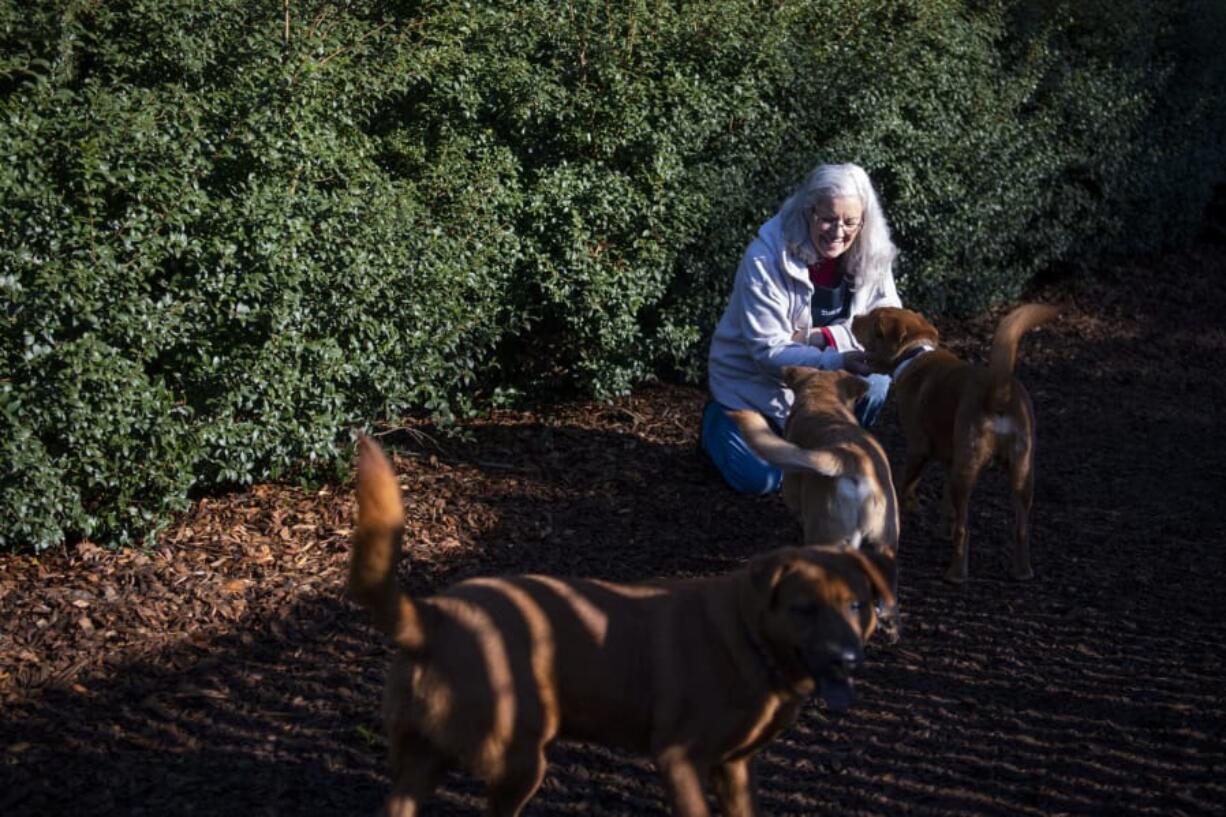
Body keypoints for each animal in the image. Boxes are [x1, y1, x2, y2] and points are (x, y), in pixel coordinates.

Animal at [350, 436, 897, 809]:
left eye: (857, 606)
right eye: (804, 609)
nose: (848, 659)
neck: (747, 638)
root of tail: (431, 617)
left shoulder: (736, 769)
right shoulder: (679, 760)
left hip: (423, 759)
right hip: (518, 762)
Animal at [848, 301, 1059, 581]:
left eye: (873, 321)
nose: (853, 318)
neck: (914, 355)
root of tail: (998, 387)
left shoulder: (918, 449)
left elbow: (905, 487)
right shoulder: (950, 459)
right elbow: (946, 502)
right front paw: (941, 531)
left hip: (968, 469)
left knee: (965, 529)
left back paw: (956, 573)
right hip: (1021, 472)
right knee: (1020, 529)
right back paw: (1022, 571)